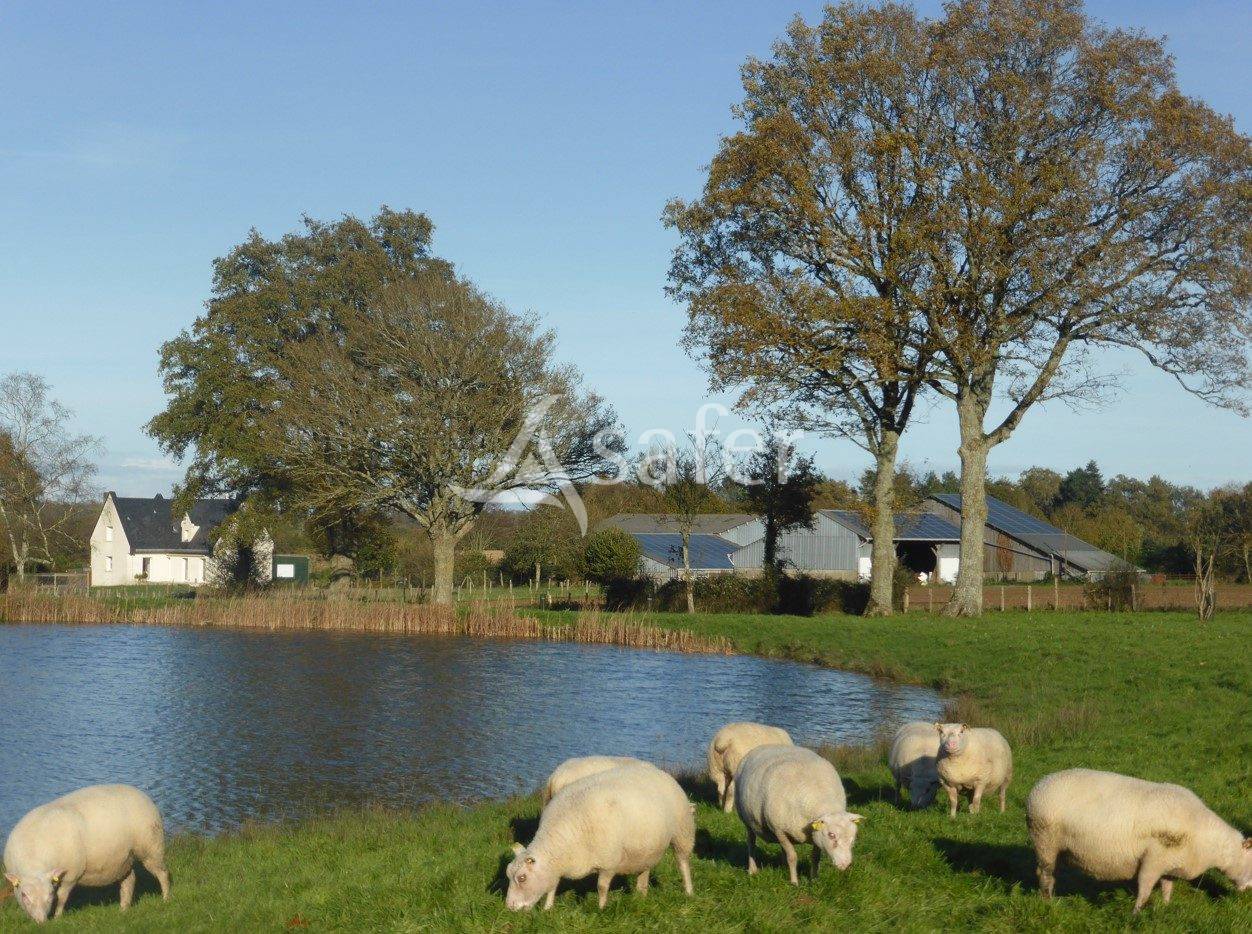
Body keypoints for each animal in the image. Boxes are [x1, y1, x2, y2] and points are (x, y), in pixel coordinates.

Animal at [4, 784, 170, 923]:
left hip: (152, 847)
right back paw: (124, 909)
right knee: (129, 881)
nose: (41, 922)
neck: (34, 860)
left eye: (50, 894)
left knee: (163, 873)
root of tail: (143, 795)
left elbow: (62, 897)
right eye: (24, 895)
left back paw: (166, 898)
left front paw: (57, 918)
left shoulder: (71, 875)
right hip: (124, 859)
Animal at [504, 762, 695, 910]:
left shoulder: (608, 862)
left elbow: (601, 887)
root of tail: (660, 772)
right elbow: (552, 886)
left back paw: (688, 891)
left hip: (682, 832)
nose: (510, 907)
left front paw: (601, 908)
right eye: (508, 874)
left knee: (683, 863)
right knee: (644, 871)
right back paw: (641, 895)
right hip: (646, 849)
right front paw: (548, 908)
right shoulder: (556, 866)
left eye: (522, 878)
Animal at [733, 744, 862, 885]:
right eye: (831, 835)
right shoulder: (779, 830)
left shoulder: (815, 835)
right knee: (751, 842)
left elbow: (815, 857)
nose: (846, 865)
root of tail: (762, 746)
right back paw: (752, 870)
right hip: (746, 819)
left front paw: (814, 879)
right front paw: (794, 882)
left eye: (854, 837)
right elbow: (792, 857)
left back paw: (783, 866)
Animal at [1027, 768, 1252, 913]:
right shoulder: (1153, 860)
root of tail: (1037, 787)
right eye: (1250, 863)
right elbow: (1144, 888)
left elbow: (1167, 887)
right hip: (1045, 841)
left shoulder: (1169, 864)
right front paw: (1136, 914)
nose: (1249, 892)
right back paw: (1048, 902)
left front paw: (1166, 907)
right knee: (1045, 875)